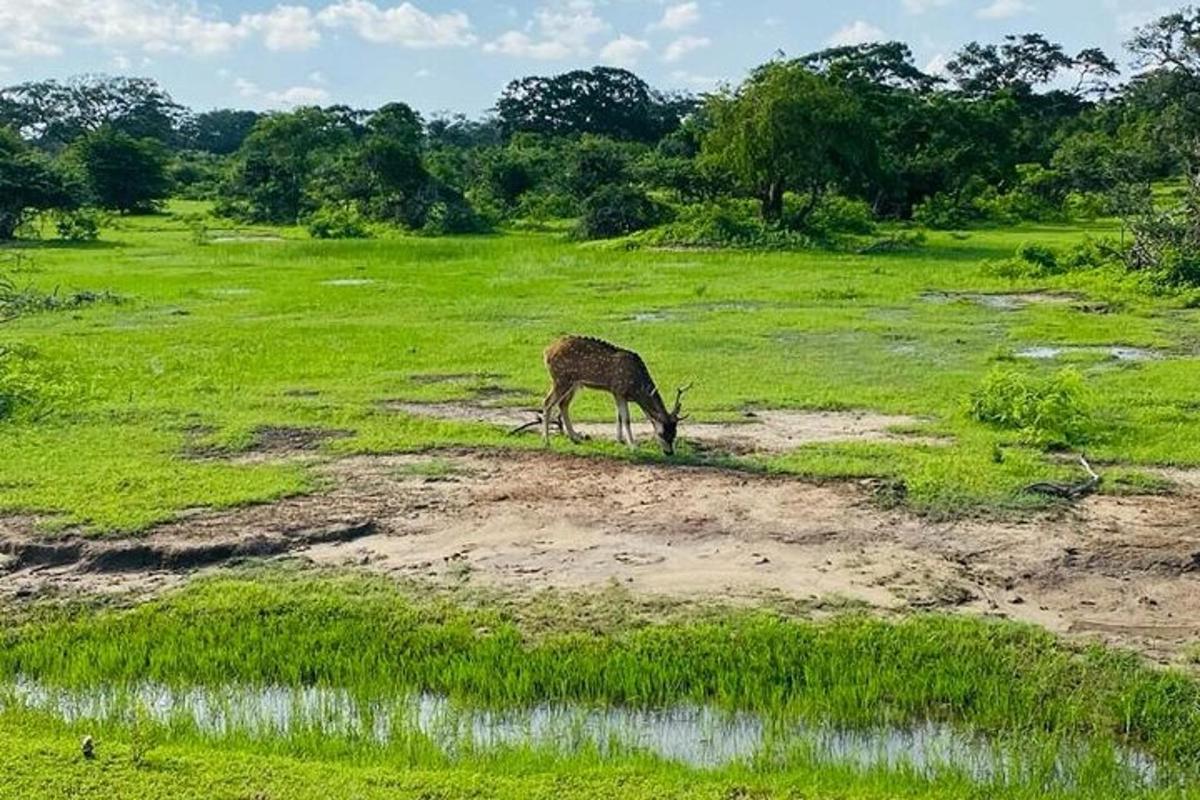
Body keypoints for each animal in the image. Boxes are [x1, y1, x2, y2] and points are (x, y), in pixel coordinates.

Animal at [542, 335, 691, 453]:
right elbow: (626, 419)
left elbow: (619, 416)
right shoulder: (619, 390)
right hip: (561, 379)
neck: (636, 390)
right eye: (661, 433)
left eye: (674, 433)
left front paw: (620, 440)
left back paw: (575, 437)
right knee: (547, 402)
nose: (669, 453)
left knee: (563, 404)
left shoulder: (616, 393)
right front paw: (633, 446)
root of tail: (547, 352)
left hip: (574, 383)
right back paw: (546, 441)